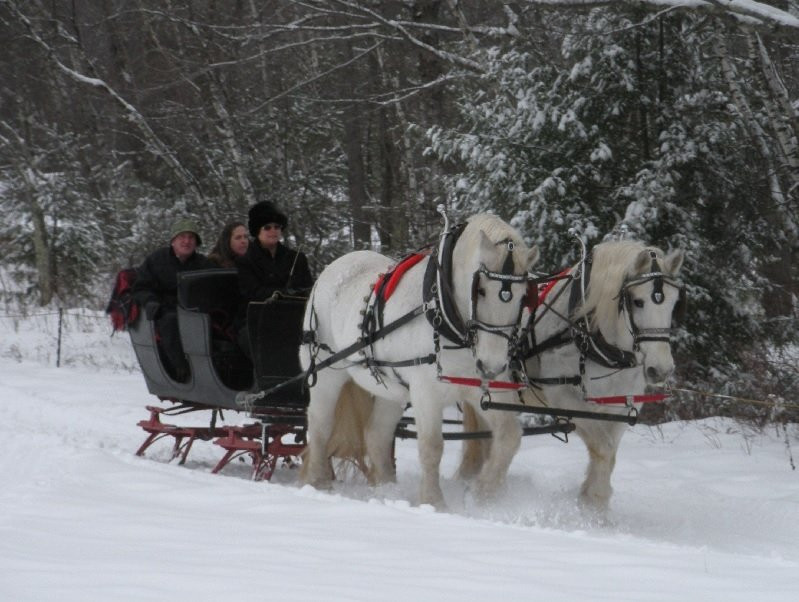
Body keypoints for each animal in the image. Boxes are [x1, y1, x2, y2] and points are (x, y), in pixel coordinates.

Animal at [300, 212, 536, 506]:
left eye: (523, 296)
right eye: (480, 290)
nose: (491, 365)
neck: (445, 314)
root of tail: (334, 267)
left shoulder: (479, 388)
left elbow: (510, 435)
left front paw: (483, 491)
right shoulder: (426, 392)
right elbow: (432, 447)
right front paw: (432, 502)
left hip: (392, 390)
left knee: (376, 435)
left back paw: (388, 490)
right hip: (326, 372)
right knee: (320, 425)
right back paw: (318, 482)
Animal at [460, 239, 684, 510]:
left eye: (674, 303)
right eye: (638, 301)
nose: (661, 370)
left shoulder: (620, 407)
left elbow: (609, 455)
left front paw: (594, 506)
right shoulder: (567, 400)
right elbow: (604, 448)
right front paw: (592, 504)